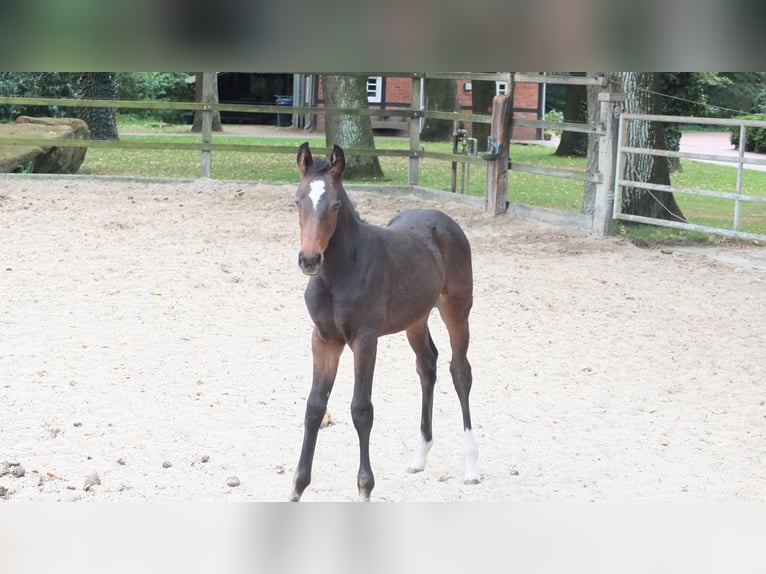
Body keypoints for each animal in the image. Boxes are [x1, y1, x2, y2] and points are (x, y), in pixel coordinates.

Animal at [289, 142, 478, 501]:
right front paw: (297, 487)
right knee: (427, 366)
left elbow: (361, 409)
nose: (309, 260)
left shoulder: (365, 339)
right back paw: (419, 457)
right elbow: (314, 407)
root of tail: (444, 219)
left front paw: (365, 487)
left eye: (335, 205)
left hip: (457, 310)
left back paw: (472, 467)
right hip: (416, 319)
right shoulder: (324, 339)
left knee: (460, 371)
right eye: (297, 200)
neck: (338, 275)